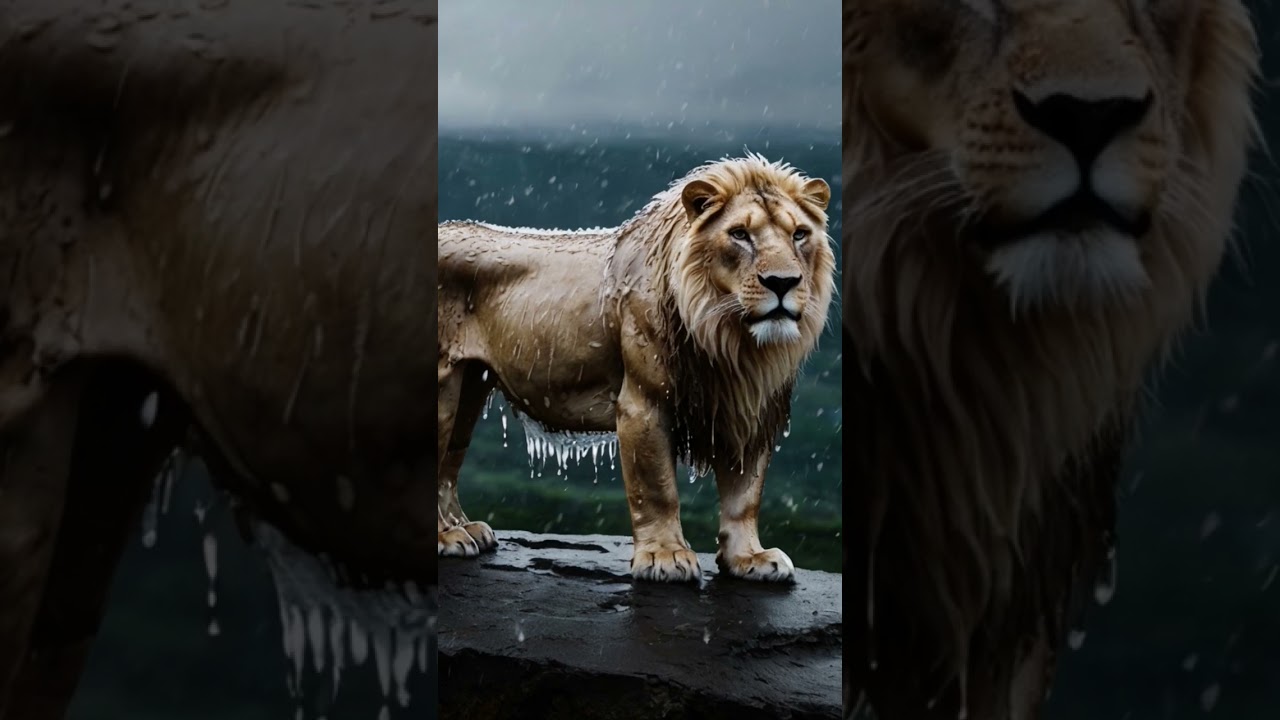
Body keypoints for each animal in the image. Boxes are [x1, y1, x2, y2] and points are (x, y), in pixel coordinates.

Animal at [438, 154, 835, 583]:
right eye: (740, 234)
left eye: (799, 234)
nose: (782, 282)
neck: (730, 341)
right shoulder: (644, 403)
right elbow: (657, 486)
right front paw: (665, 556)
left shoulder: (750, 408)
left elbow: (745, 494)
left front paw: (749, 558)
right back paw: (447, 536)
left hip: (470, 386)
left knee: (449, 462)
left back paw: (466, 529)